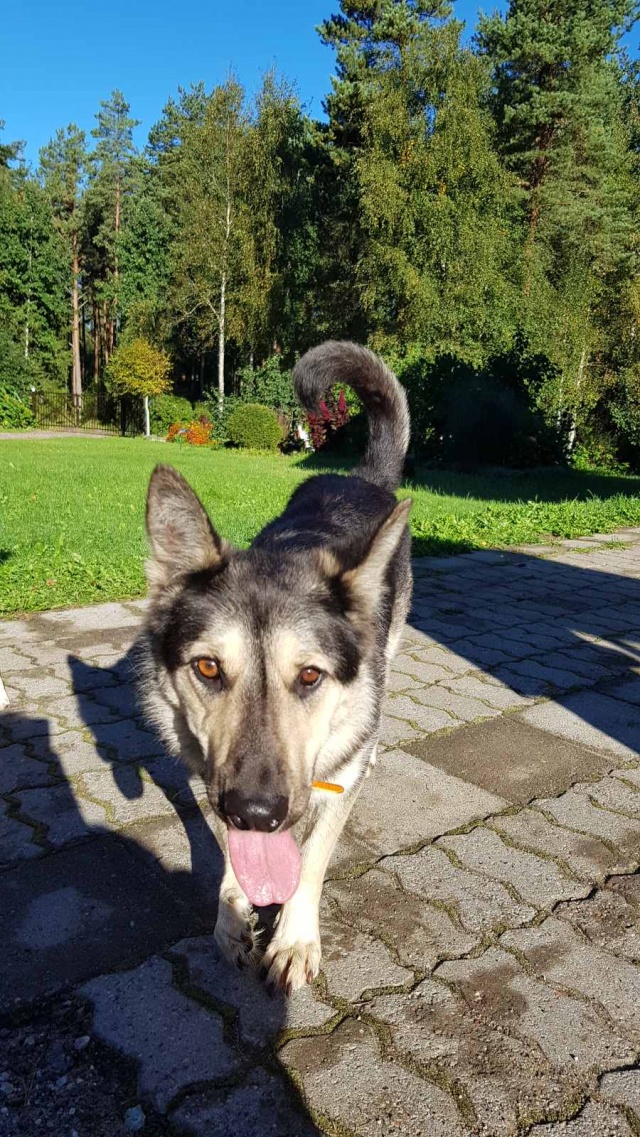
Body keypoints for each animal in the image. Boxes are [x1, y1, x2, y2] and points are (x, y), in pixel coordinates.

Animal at [138, 341, 412, 993]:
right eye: (208, 668)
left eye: (310, 676)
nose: (258, 813)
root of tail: (359, 478)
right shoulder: (208, 776)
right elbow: (227, 847)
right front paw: (232, 913)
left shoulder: (327, 787)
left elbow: (311, 859)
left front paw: (293, 938)